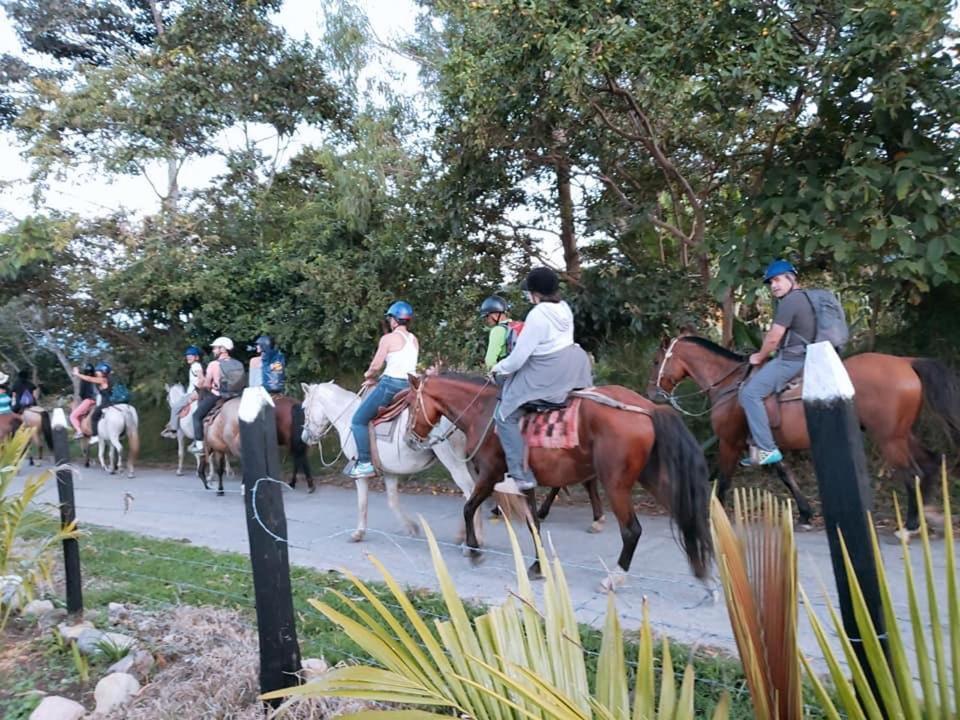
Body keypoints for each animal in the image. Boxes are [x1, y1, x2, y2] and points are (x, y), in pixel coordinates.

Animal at [300, 380, 480, 544]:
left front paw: (359, 533)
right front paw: (411, 527)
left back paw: (474, 539)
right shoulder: (390, 471)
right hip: (468, 461)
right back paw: (463, 535)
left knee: (469, 490)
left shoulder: (360, 476)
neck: (347, 417)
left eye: (304, 407)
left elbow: (362, 503)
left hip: (454, 462)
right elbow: (393, 501)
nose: (304, 437)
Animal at [404, 372, 712, 592]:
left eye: (409, 404)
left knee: (632, 531)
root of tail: (647, 408)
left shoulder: (490, 474)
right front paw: (538, 566)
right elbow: (534, 524)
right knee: (686, 516)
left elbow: (469, 507)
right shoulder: (523, 481)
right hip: (651, 477)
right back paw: (705, 576)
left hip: (616, 484)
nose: (409, 439)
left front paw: (474, 550)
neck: (483, 411)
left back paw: (614, 578)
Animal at [644, 334, 960, 532]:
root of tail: (906, 362)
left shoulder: (730, 442)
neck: (730, 384)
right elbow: (785, 475)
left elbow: (723, 480)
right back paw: (930, 517)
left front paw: (714, 514)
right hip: (902, 434)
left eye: (656, 360)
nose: (651, 392)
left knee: (912, 473)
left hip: (889, 439)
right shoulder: (767, 444)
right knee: (931, 463)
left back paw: (911, 524)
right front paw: (806, 513)